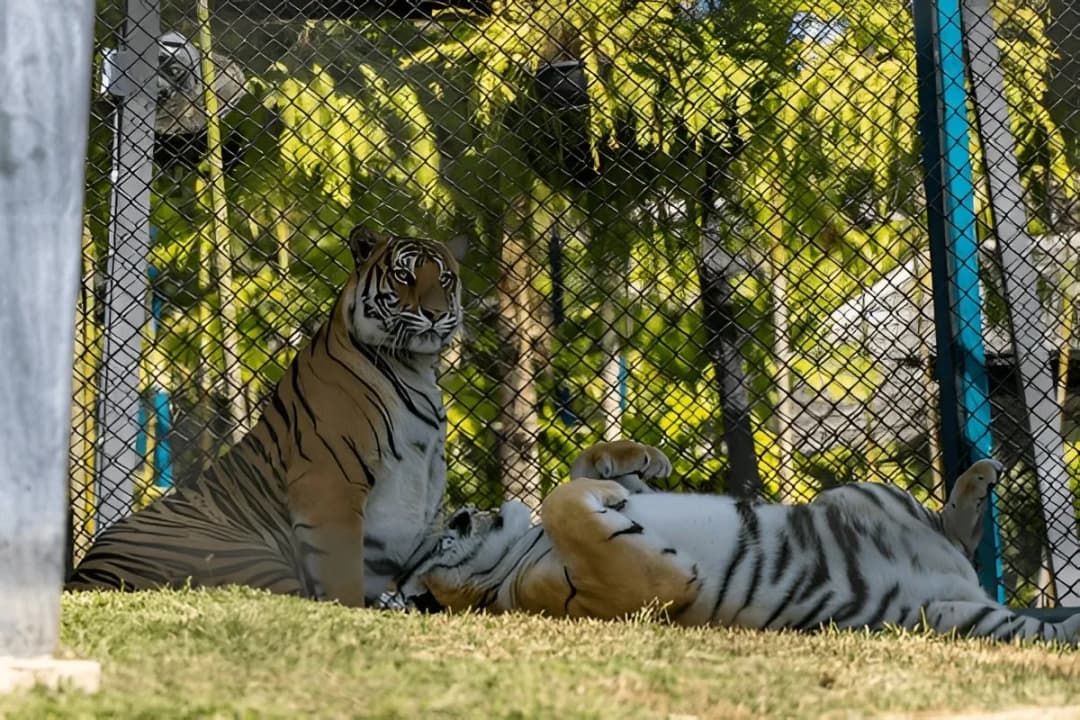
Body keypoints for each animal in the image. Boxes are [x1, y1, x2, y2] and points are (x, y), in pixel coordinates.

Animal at [67, 226, 464, 607]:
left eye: (445, 278)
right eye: (403, 275)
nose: (435, 314)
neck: (414, 368)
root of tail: (85, 574)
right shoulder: (329, 485)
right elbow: (342, 583)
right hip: (247, 557)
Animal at [383, 441, 1080, 644]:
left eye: (446, 532)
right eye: (436, 547)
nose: (464, 513)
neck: (512, 562)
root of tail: (965, 586)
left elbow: (576, 475)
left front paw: (634, 463)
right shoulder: (625, 583)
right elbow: (562, 500)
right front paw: (603, 492)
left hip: (860, 495)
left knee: (954, 531)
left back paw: (977, 478)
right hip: (953, 617)